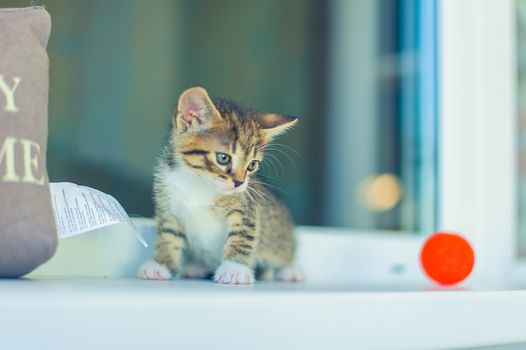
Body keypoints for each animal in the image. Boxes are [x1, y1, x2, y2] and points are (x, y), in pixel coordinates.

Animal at [139, 85, 306, 284]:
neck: (199, 182)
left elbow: (242, 236)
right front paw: (160, 264)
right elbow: (167, 235)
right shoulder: (168, 204)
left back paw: (289, 270)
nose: (239, 183)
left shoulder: (247, 208)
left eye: (252, 165)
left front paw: (235, 269)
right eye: (223, 158)